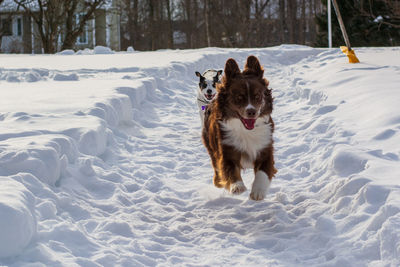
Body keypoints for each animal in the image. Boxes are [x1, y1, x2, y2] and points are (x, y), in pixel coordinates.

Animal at [202, 55, 276, 201]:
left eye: (257, 96)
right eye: (239, 97)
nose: (251, 112)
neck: (246, 130)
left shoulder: (265, 147)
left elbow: (263, 171)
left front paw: (258, 191)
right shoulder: (227, 148)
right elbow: (230, 169)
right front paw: (237, 187)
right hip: (210, 145)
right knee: (216, 165)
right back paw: (218, 181)